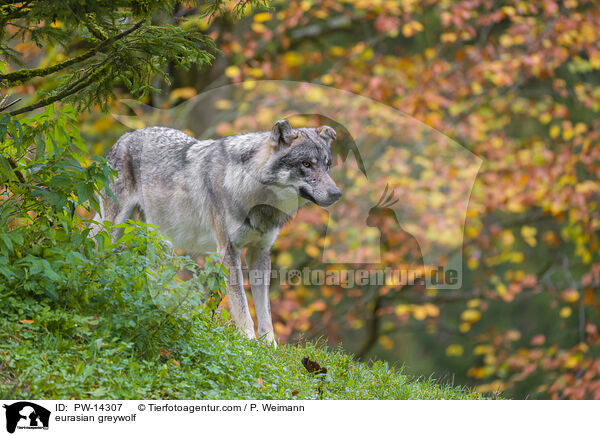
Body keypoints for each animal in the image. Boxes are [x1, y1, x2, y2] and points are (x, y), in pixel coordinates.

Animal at [91, 119, 340, 344]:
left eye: (327, 165)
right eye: (306, 164)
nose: (337, 193)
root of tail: (125, 136)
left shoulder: (259, 252)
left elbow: (265, 310)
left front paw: (270, 347)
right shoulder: (228, 251)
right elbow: (241, 302)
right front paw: (248, 342)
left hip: (161, 244)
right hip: (115, 227)